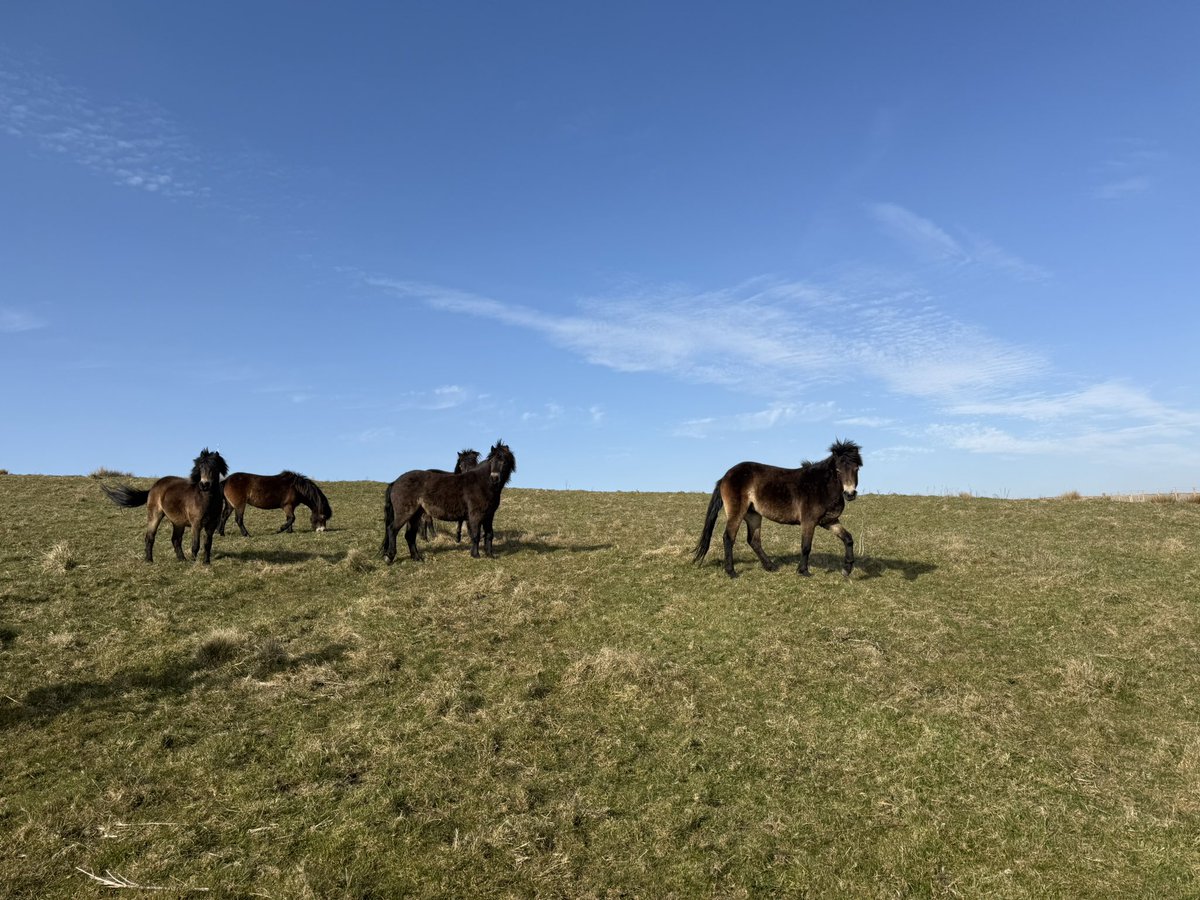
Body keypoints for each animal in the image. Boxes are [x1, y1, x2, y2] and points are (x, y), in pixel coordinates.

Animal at [382, 440, 516, 564]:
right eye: (492, 461)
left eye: (504, 461)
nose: (494, 478)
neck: (483, 483)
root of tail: (396, 482)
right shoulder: (475, 515)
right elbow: (476, 534)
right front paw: (475, 555)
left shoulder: (489, 515)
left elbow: (489, 534)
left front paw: (490, 555)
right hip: (405, 513)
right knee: (392, 530)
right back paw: (389, 557)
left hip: (415, 515)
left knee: (409, 535)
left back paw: (417, 557)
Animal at [694, 439, 863, 579]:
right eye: (838, 470)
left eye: (856, 468)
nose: (850, 494)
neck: (821, 486)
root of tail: (726, 476)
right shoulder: (809, 522)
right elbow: (806, 546)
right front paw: (803, 571)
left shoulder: (829, 521)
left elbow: (848, 539)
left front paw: (847, 570)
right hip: (737, 513)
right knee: (729, 538)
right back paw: (731, 572)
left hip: (753, 515)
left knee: (754, 540)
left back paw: (770, 566)